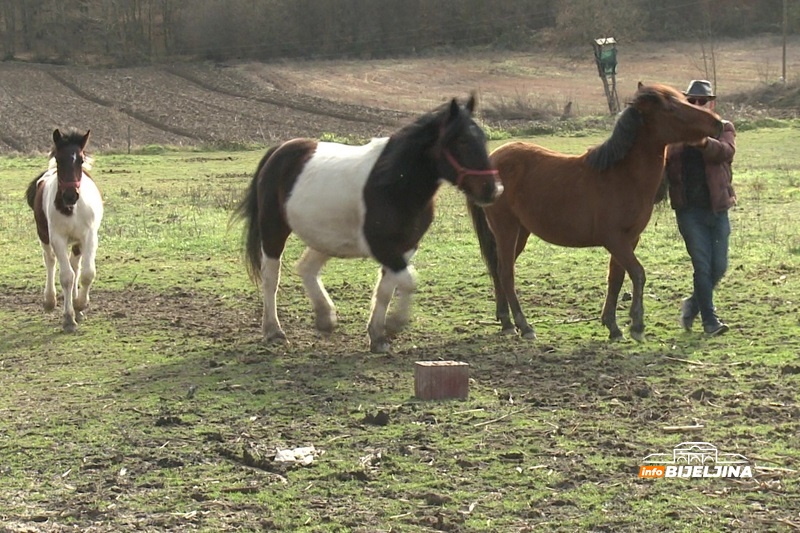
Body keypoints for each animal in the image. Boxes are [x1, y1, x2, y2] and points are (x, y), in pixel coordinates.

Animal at [25, 128, 103, 328]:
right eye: (59, 159)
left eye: (81, 160)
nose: (70, 195)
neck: (71, 209)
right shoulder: (57, 239)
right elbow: (66, 277)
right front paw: (68, 318)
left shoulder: (89, 237)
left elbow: (87, 273)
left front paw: (80, 304)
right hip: (44, 235)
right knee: (50, 261)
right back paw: (50, 300)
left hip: (76, 242)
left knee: (75, 265)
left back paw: (76, 306)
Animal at [234, 95, 504, 354]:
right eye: (462, 141)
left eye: (482, 138)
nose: (493, 189)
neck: (395, 183)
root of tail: (280, 150)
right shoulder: (382, 247)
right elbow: (408, 282)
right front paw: (394, 323)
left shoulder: (405, 248)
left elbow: (387, 289)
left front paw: (378, 336)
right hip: (274, 230)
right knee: (271, 277)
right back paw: (273, 331)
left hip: (326, 239)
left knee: (306, 267)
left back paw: (325, 317)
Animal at [468, 83, 724, 340]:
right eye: (671, 108)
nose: (718, 122)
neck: (623, 175)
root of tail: (493, 160)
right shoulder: (614, 239)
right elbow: (638, 273)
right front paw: (637, 325)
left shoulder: (630, 239)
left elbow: (616, 278)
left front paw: (613, 326)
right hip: (506, 229)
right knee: (506, 274)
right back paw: (525, 326)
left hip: (520, 232)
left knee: (499, 270)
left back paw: (506, 322)